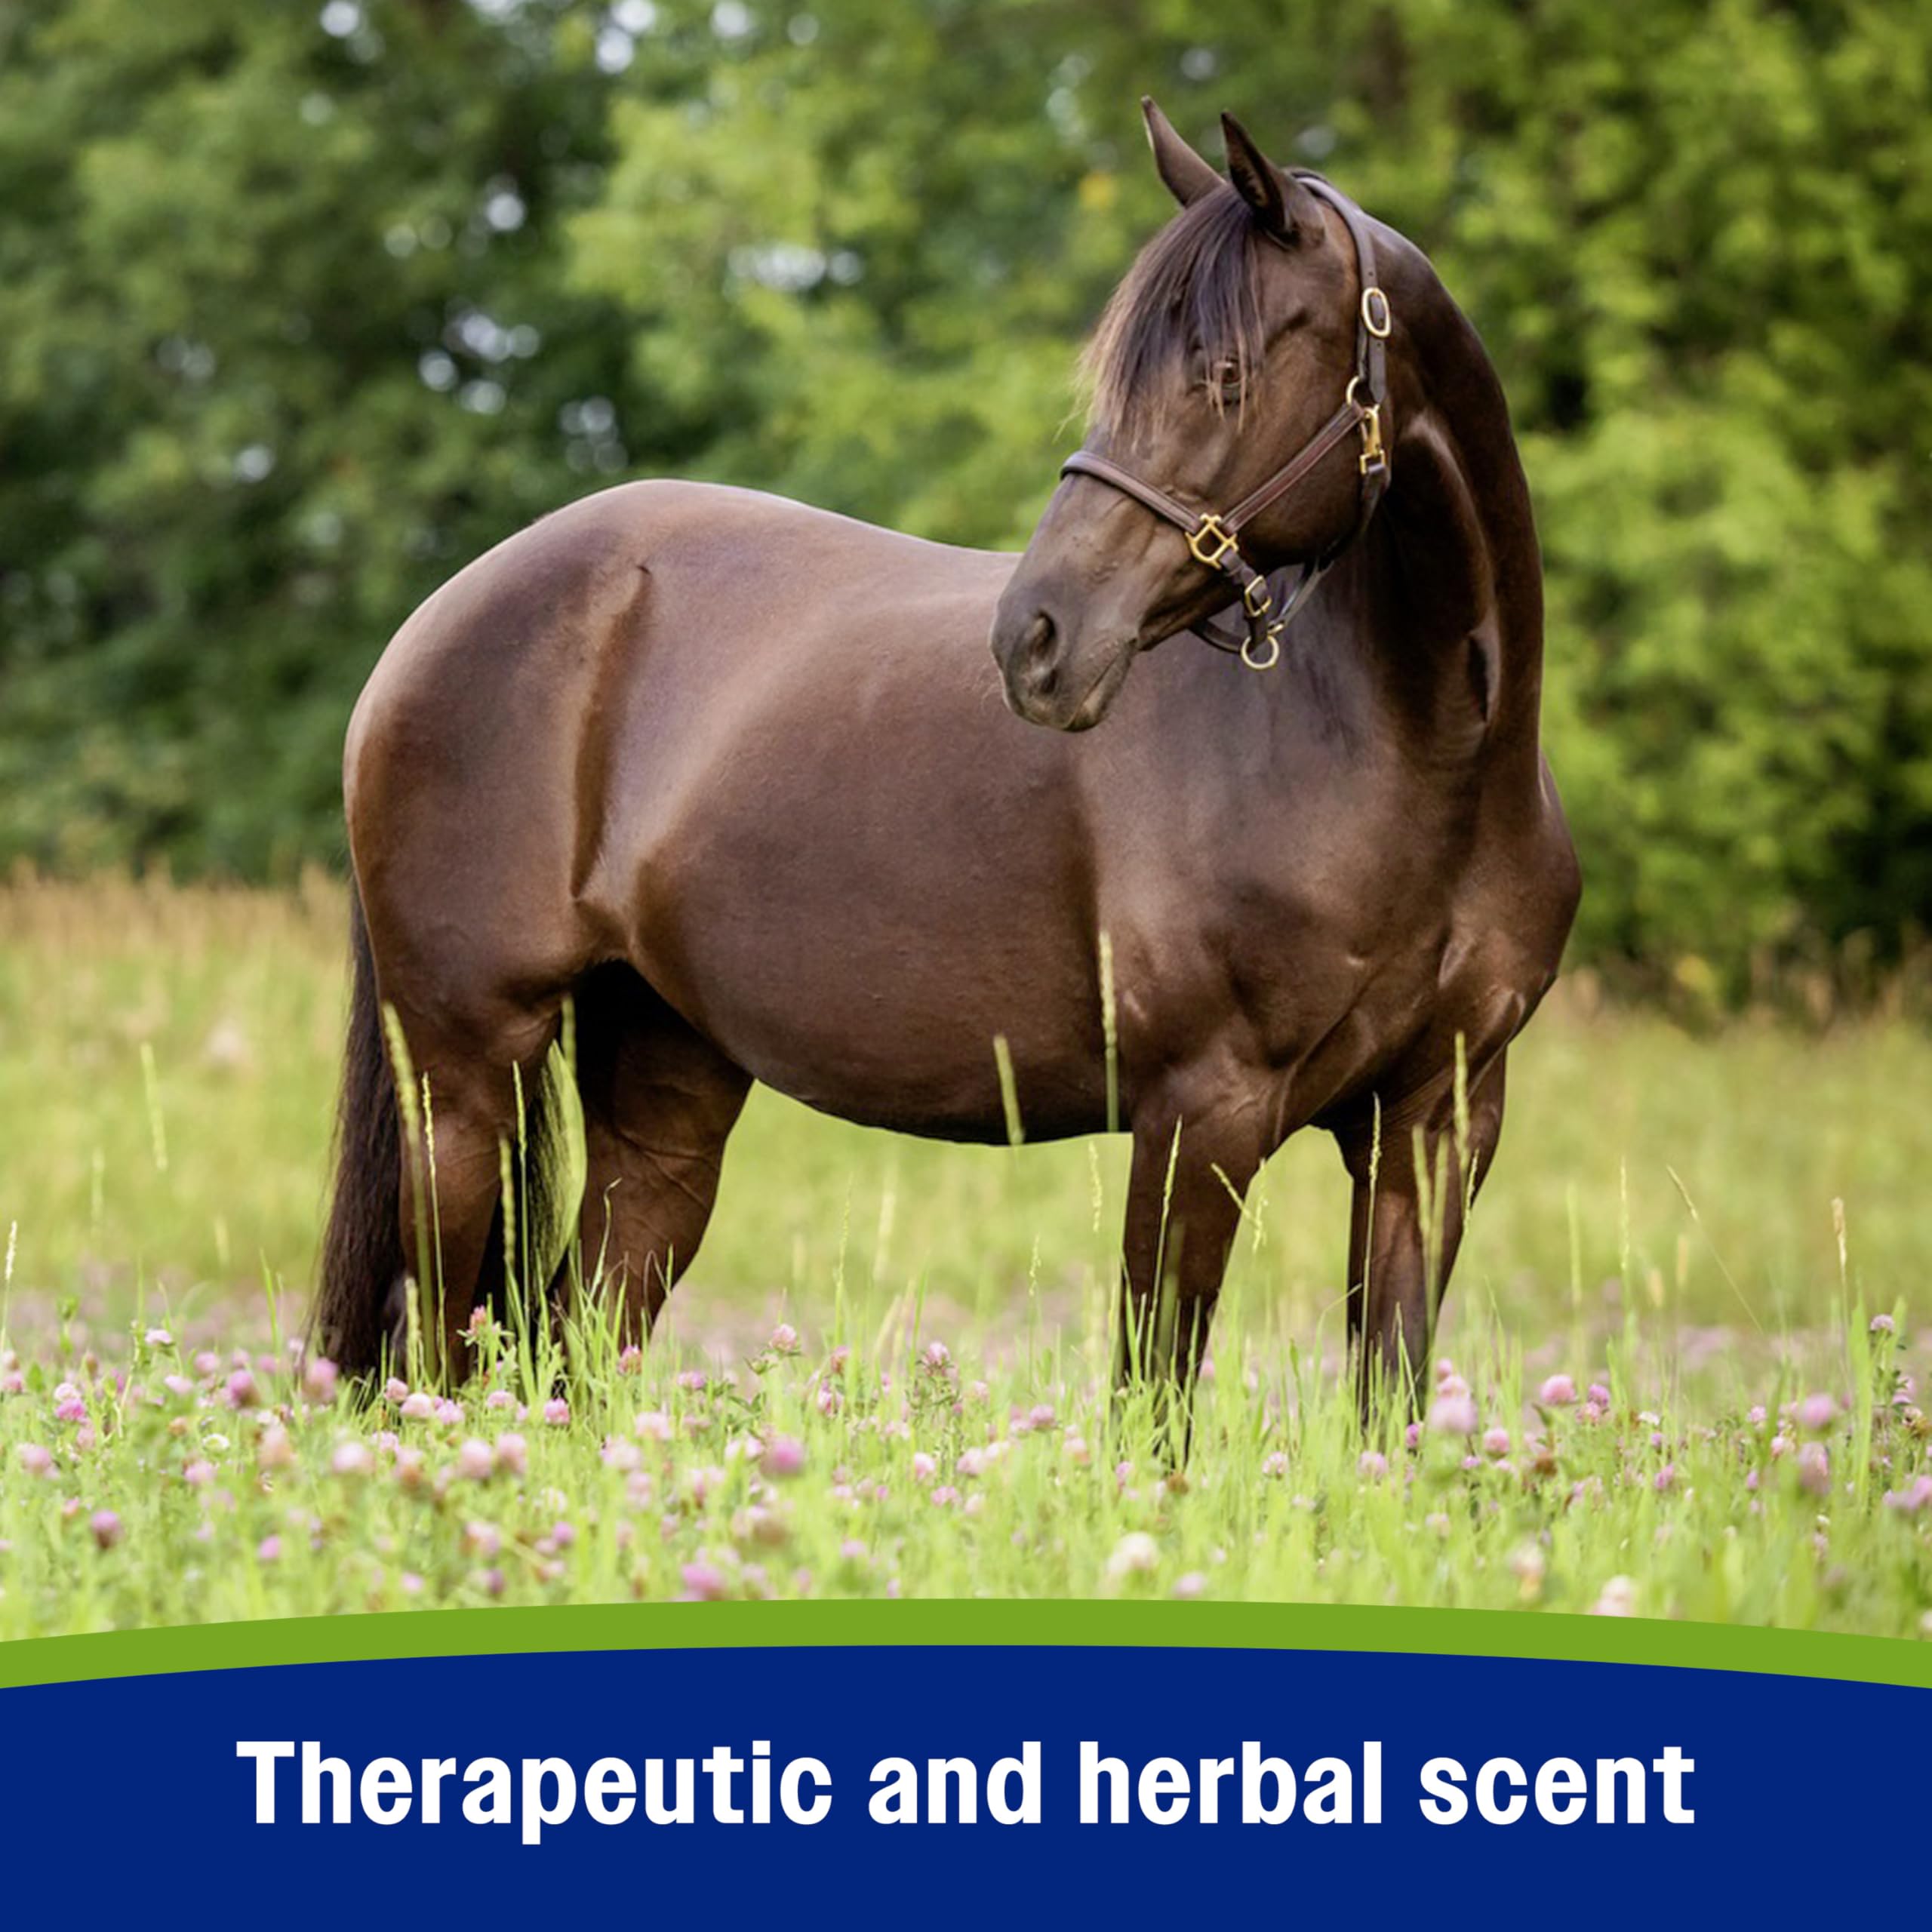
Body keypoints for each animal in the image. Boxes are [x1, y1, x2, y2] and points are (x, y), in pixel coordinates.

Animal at [314, 101, 1579, 1430]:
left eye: (1227, 375)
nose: (1038, 639)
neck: (1424, 759)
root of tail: (435, 622)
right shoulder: (1204, 1110)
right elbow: (1153, 1407)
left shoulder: (1436, 1124)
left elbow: (1390, 1396)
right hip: (465, 1082)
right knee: (439, 1357)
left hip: (664, 1091)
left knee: (579, 1342)